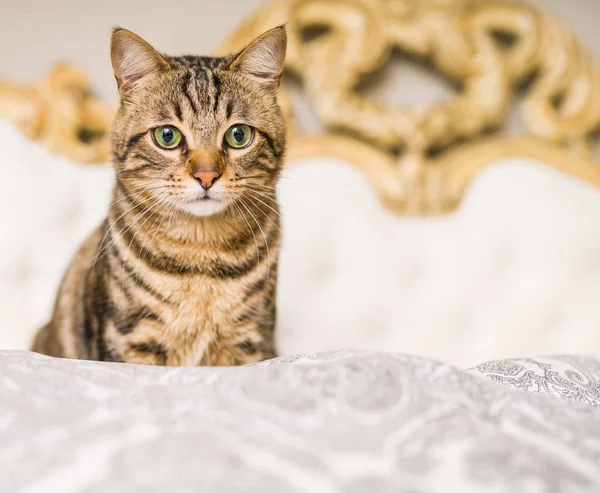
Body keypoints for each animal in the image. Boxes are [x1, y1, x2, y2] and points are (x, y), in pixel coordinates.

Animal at [31, 26, 288, 366]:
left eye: (239, 135)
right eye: (167, 136)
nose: (207, 175)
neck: (201, 258)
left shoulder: (250, 341)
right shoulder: (130, 341)